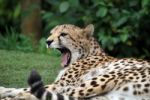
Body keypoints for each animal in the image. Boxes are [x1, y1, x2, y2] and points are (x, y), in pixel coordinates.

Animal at [0, 23, 150, 99]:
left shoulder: (60, 84)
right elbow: (17, 88)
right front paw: (3, 90)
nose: (48, 41)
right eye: (51, 33)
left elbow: (27, 88)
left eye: (63, 34)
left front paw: (9, 93)